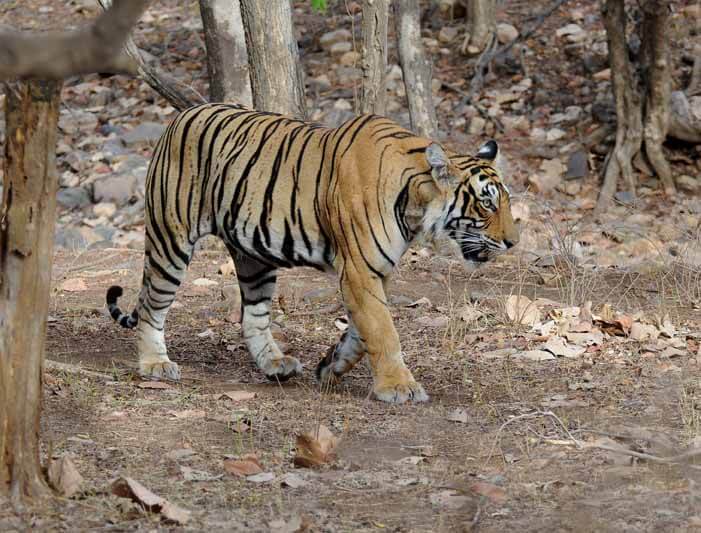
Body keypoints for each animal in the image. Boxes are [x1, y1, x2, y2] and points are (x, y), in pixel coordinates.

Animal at [106, 103, 516, 404]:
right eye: (487, 204)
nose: (513, 241)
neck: (415, 203)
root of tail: (178, 117)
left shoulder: (375, 270)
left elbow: (362, 330)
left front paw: (332, 365)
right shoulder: (359, 269)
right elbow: (383, 331)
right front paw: (399, 387)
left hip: (254, 257)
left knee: (252, 315)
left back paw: (275, 364)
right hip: (170, 240)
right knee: (152, 307)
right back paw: (155, 364)